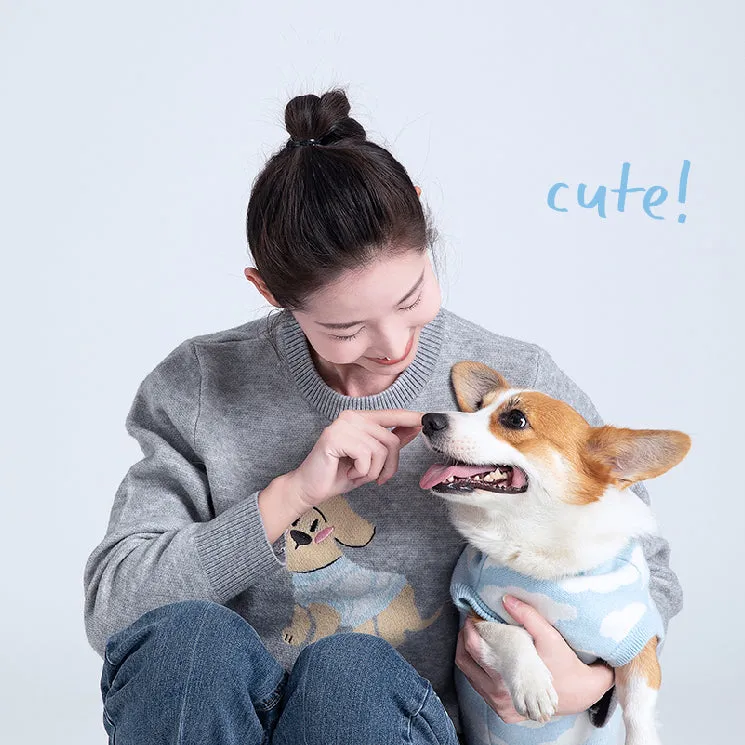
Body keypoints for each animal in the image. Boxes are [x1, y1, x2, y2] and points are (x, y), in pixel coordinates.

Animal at [418, 360, 692, 744]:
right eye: (477, 407)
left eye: (515, 419)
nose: (428, 419)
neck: (542, 543)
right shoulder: (475, 614)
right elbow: (513, 633)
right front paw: (532, 685)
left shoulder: (637, 641)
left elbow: (639, 711)